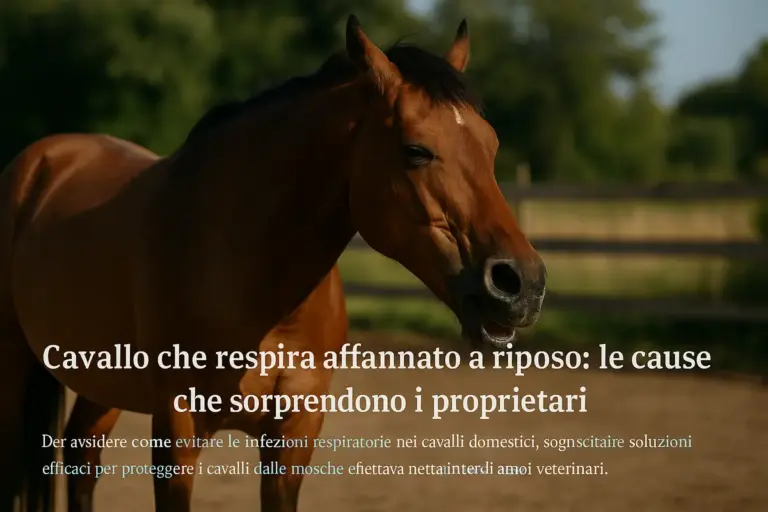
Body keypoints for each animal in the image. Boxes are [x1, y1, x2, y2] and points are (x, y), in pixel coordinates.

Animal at [0, 15, 546, 511]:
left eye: (491, 145)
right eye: (416, 150)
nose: (520, 283)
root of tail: (43, 160)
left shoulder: (293, 436)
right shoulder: (177, 432)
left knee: (81, 458)